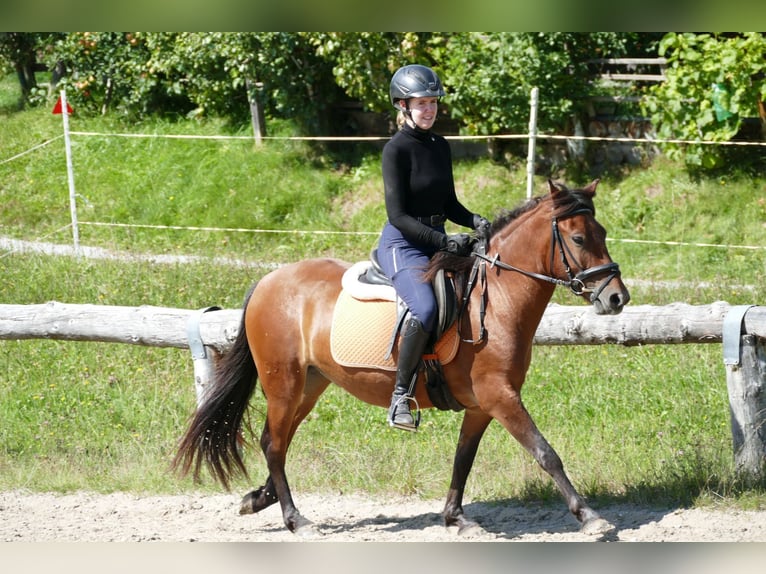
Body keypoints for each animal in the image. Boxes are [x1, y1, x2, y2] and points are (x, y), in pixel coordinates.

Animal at [177, 179, 632, 540]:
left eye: (603, 232)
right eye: (578, 239)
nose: (616, 298)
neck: (497, 301)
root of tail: (269, 280)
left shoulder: (482, 405)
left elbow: (463, 459)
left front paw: (456, 518)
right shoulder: (500, 396)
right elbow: (545, 452)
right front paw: (589, 516)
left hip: (310, 384)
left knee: (278, 441)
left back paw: (259, 498)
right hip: (283, 383)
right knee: (273, 443)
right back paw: (295, 519)